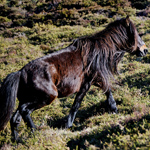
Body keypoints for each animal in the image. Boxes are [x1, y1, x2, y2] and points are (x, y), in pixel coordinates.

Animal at [0, 16, 148, 141]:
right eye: (135, 34)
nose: (145, 50)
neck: (98, 52)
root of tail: (20, 72)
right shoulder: (88, 83)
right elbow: (76, 104)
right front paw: (68, 126)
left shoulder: (96, 80)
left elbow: (108, 92)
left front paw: (114, 110)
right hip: (47, 97)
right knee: (25, 111)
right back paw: (36, 132)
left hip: (27, 99)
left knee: (16, 118)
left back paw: (18, 140)